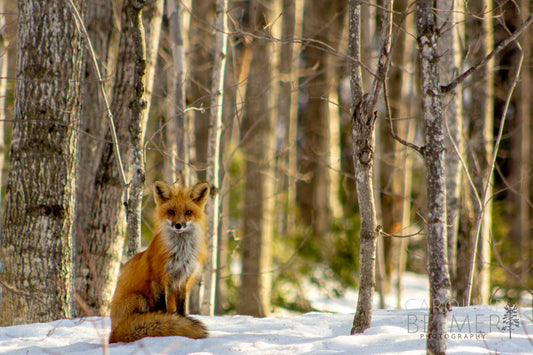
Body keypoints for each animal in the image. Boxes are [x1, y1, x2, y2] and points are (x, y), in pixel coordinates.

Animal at [107, 182, 208, 344]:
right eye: (171, 211)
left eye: (188, 212)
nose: (178, 225)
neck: (181, 252)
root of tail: (113, 333)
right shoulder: (158, 279)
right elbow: (162, 309)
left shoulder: (183, 280)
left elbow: (182, 310)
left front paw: (182, 323)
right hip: (139, 298)